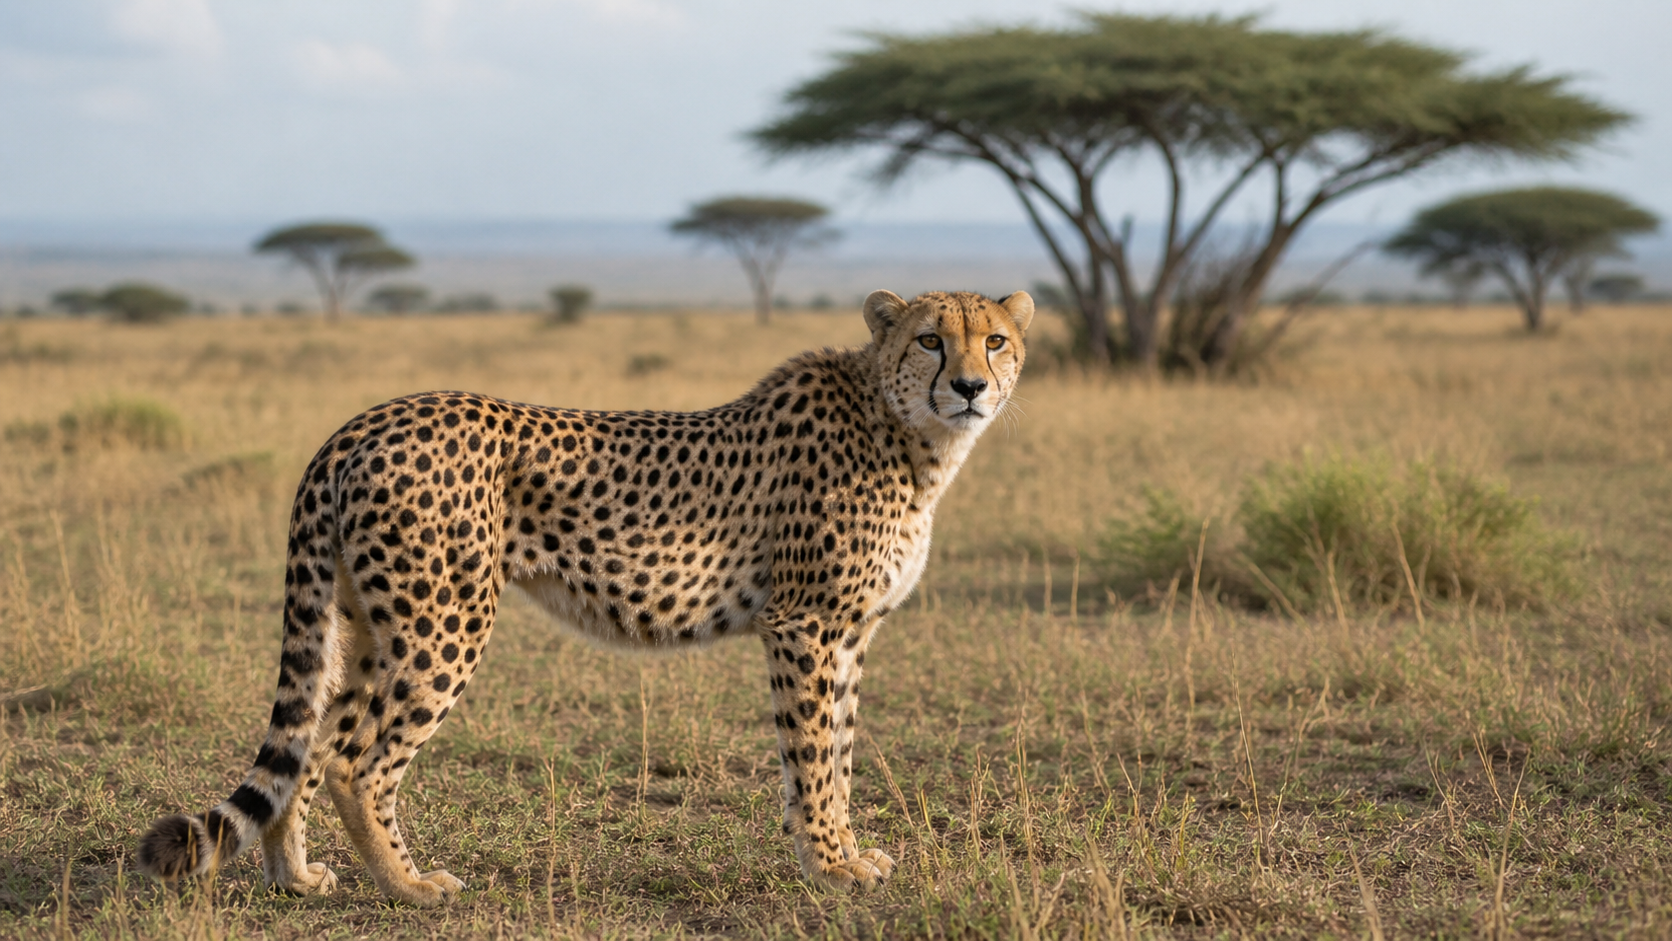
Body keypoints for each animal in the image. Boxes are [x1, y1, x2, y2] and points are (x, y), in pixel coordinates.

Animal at [136, 288, 1033, 904]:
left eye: (994, 339)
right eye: (929, 339)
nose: (969, 386)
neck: (907, 431)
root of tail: (366, 420)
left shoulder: (845, 633)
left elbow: (839, 750)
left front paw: (846, 853)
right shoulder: (805, 625)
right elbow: (814, 756)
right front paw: (828, 864)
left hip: (366, 625)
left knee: (314, 743)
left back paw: (295, 875)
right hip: (443, 622)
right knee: (356, 761)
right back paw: (409, 885)